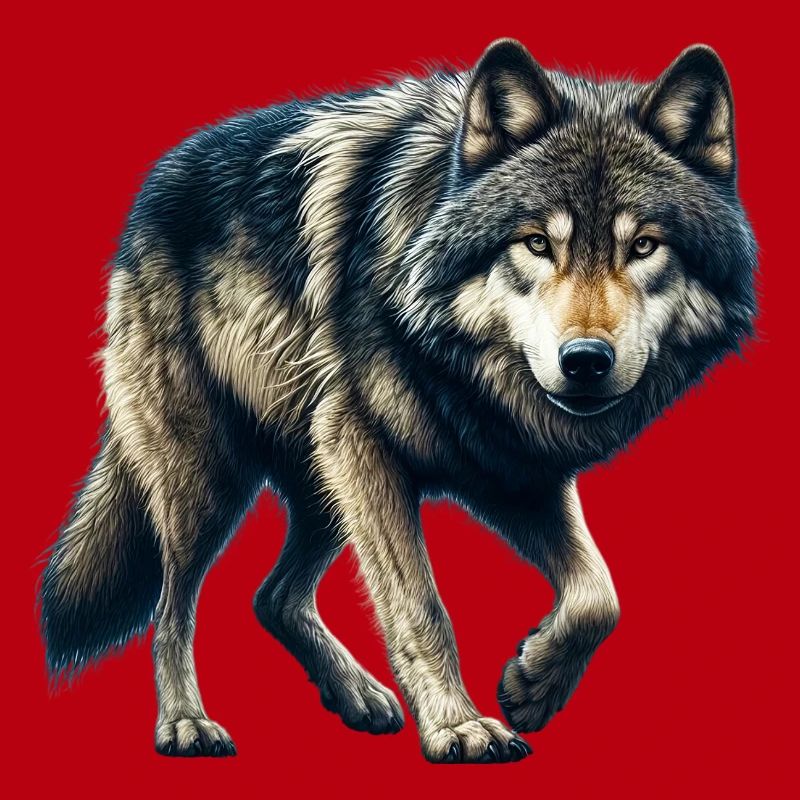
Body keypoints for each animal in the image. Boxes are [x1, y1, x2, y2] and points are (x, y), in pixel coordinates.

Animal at [39, 39, 757, 762]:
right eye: (536, 243)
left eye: (644, 246)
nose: (585, 362)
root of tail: (153, 185)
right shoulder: (367, 446)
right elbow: (419, 605)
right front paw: (458, 727)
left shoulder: (511, 470)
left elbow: (599, 596)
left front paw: (534, 684)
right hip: (213, 481)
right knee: (171, 607)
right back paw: (186, 723)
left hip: (323, 480)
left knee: (272, 597)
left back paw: (355, 694)